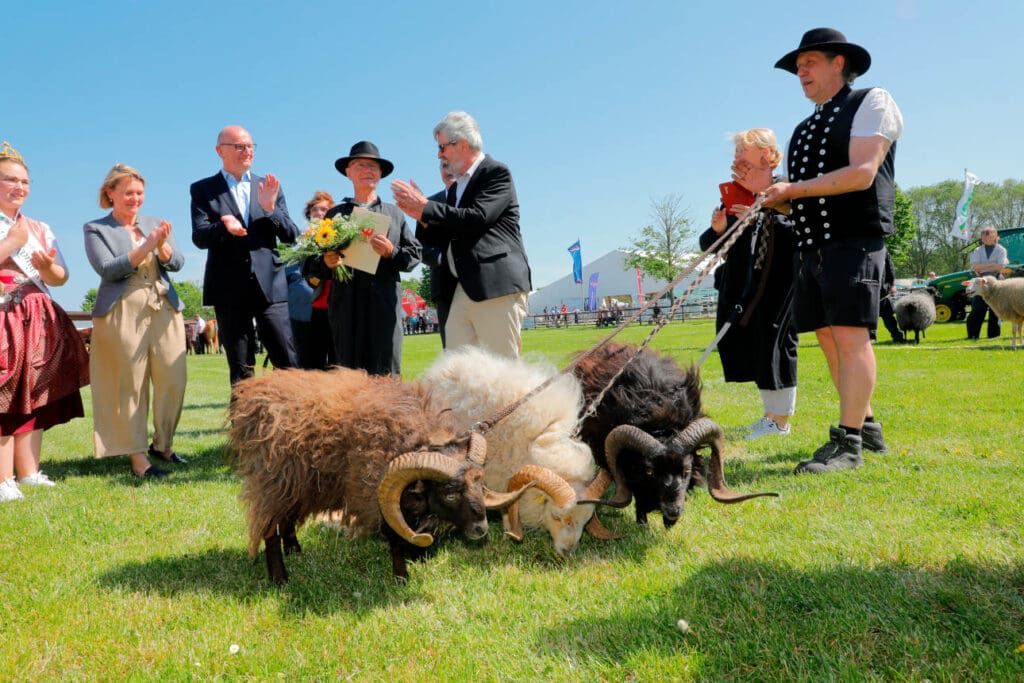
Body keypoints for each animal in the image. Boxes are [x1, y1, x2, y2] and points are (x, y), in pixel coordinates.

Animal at [417, 348, 614, 557]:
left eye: (585, 521)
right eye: (556, 516)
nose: (567, 552)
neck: (536, 446)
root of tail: (446, 365)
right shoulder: (500, 476)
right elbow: (506, 504)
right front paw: (507, 533)